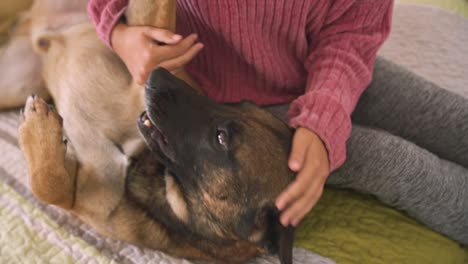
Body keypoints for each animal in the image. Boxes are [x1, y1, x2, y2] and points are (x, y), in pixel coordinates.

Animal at [9, 1, 296, 262]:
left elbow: (48, 185)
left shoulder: (78, 195)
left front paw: (36, 126)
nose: (157, 74)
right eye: (238, 103)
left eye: (221, 137)